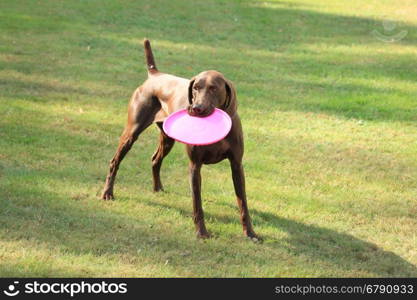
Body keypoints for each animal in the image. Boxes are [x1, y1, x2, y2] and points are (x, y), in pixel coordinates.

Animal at [101, 39, 256, 240]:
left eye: (214, 88)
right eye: (195, 88)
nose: (196, 108)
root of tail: (155, 75)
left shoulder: (236, 165)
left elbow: (243, 203)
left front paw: (250, 233)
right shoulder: (195, 166)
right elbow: (197, 204)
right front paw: (201, 232)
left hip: (167, 139)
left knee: (155, 159)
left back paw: (157, 188)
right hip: (131, 133)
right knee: (115, 161)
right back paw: (107, 193)